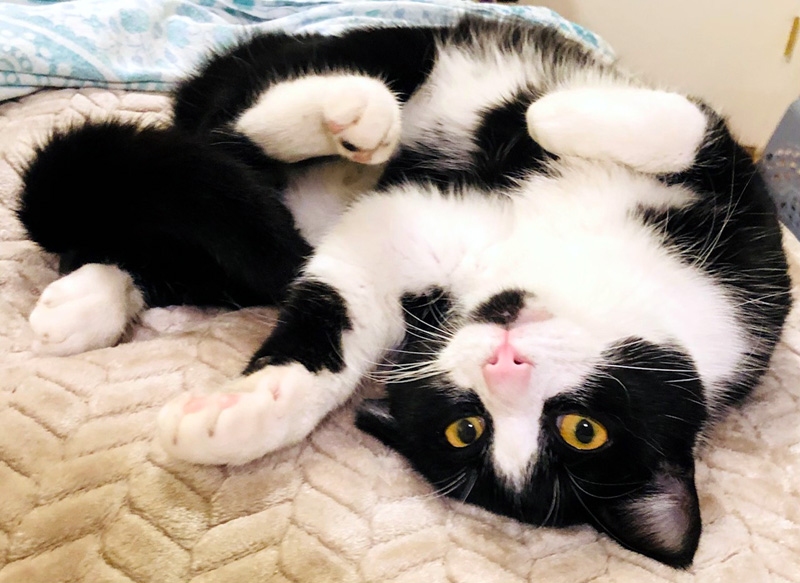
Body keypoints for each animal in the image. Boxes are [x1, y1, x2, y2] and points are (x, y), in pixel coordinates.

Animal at [16, 15, 792, 568]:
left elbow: (344, 303)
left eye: (467, 428)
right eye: (585, 427)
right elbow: (687, 126)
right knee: (244, 126)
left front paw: (248, 413)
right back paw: (350, 109)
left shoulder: (411, 246)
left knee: (187, 224)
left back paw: (85, 304)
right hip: (381, 49)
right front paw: (551, 116)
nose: (503, 365)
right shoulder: (748, 221)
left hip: (248, 237)